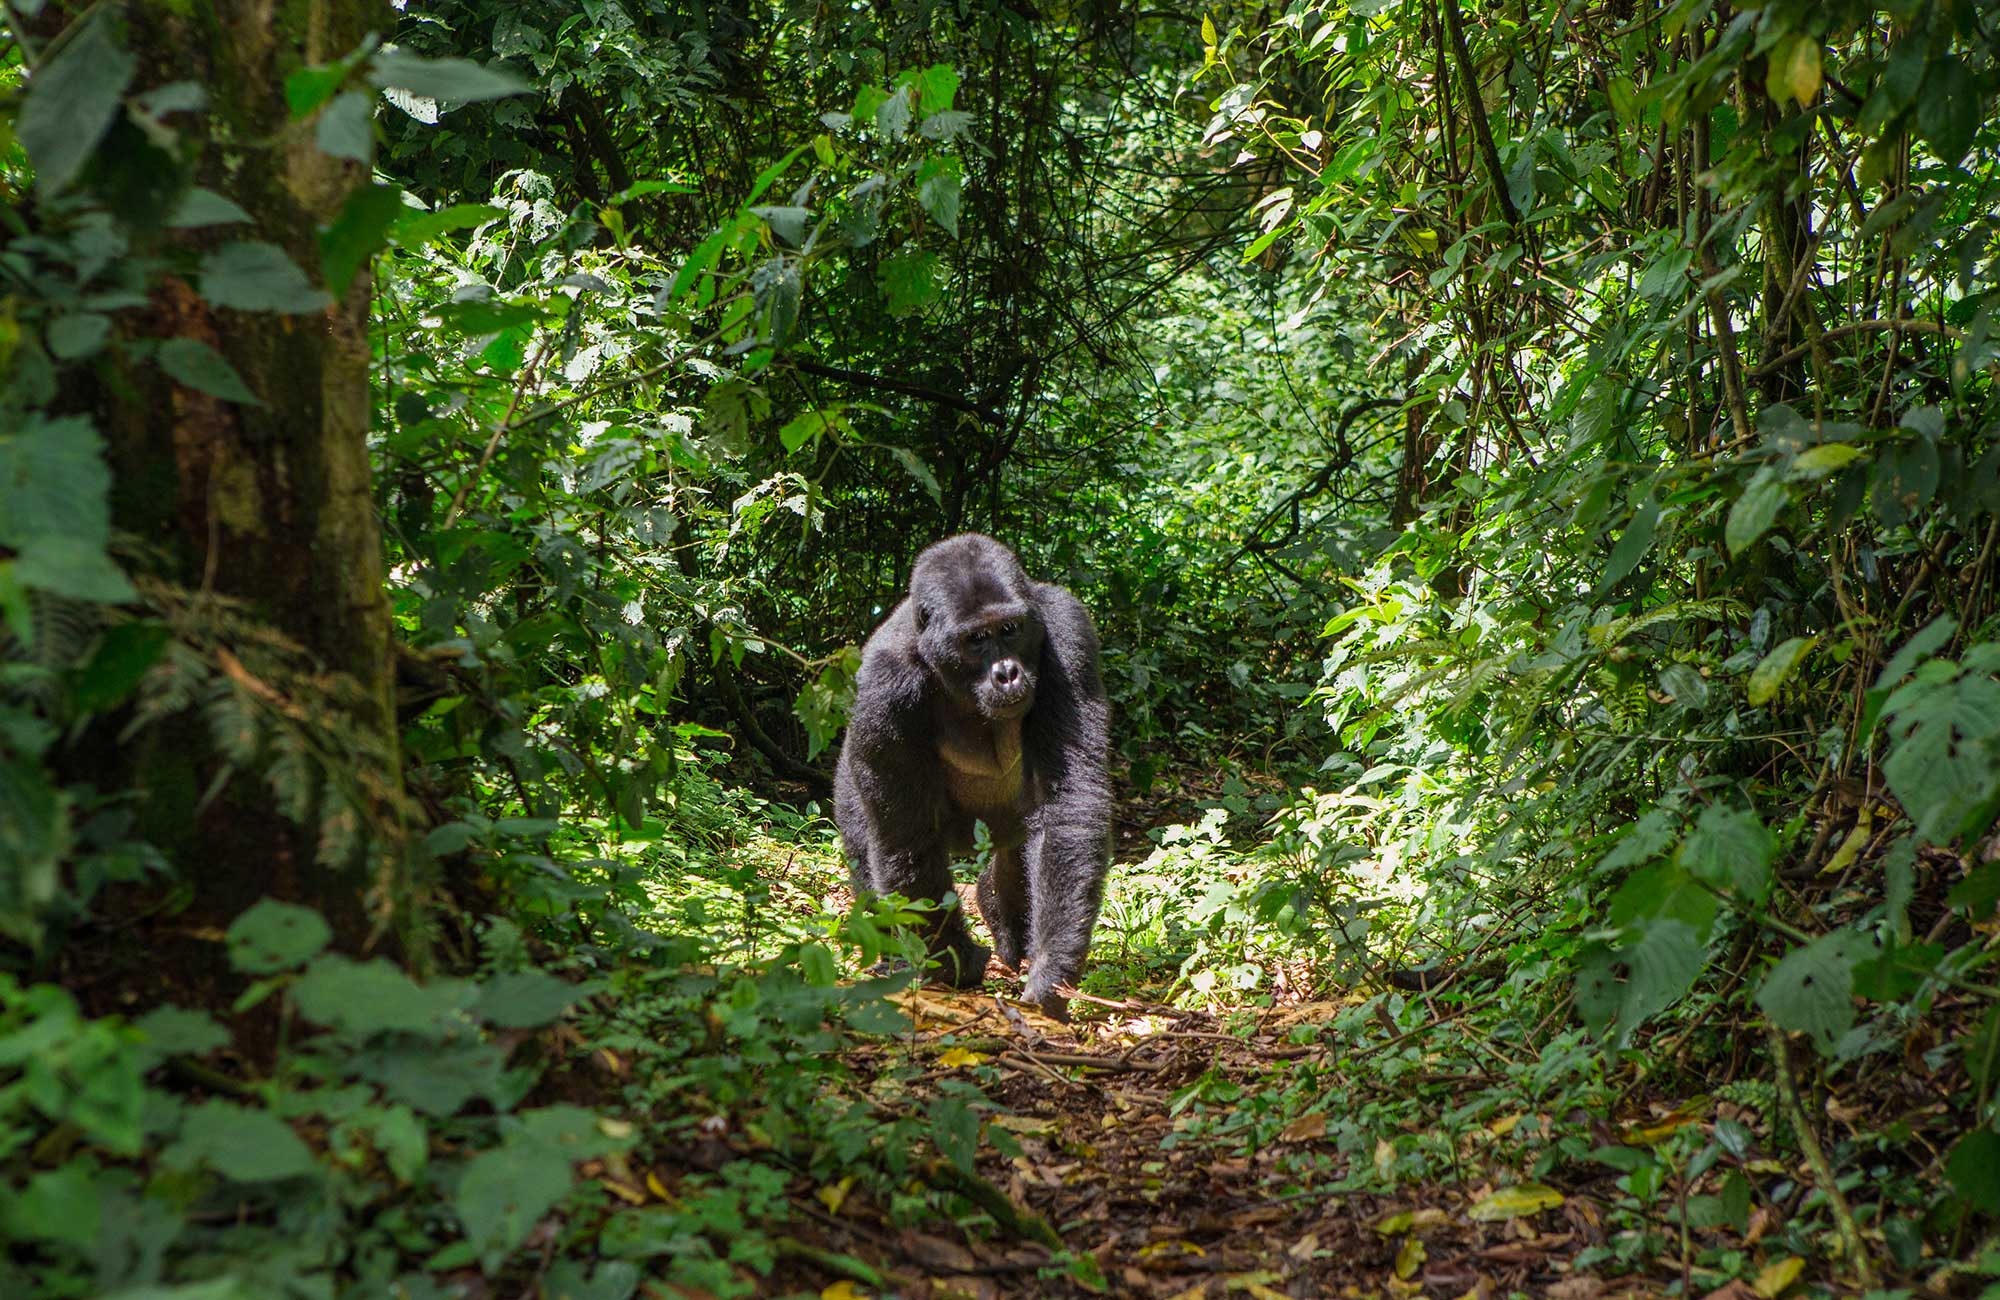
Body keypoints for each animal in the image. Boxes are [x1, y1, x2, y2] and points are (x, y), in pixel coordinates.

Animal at [828, 532, 1112, 1016]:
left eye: (1010, 630)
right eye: (976, 639)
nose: (1008, 673)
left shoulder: (1067, 629)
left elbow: (1068, 802)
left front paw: (1051, 967)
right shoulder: (885, 685)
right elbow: (907, 837)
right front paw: (955, 960)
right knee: (867, 845)